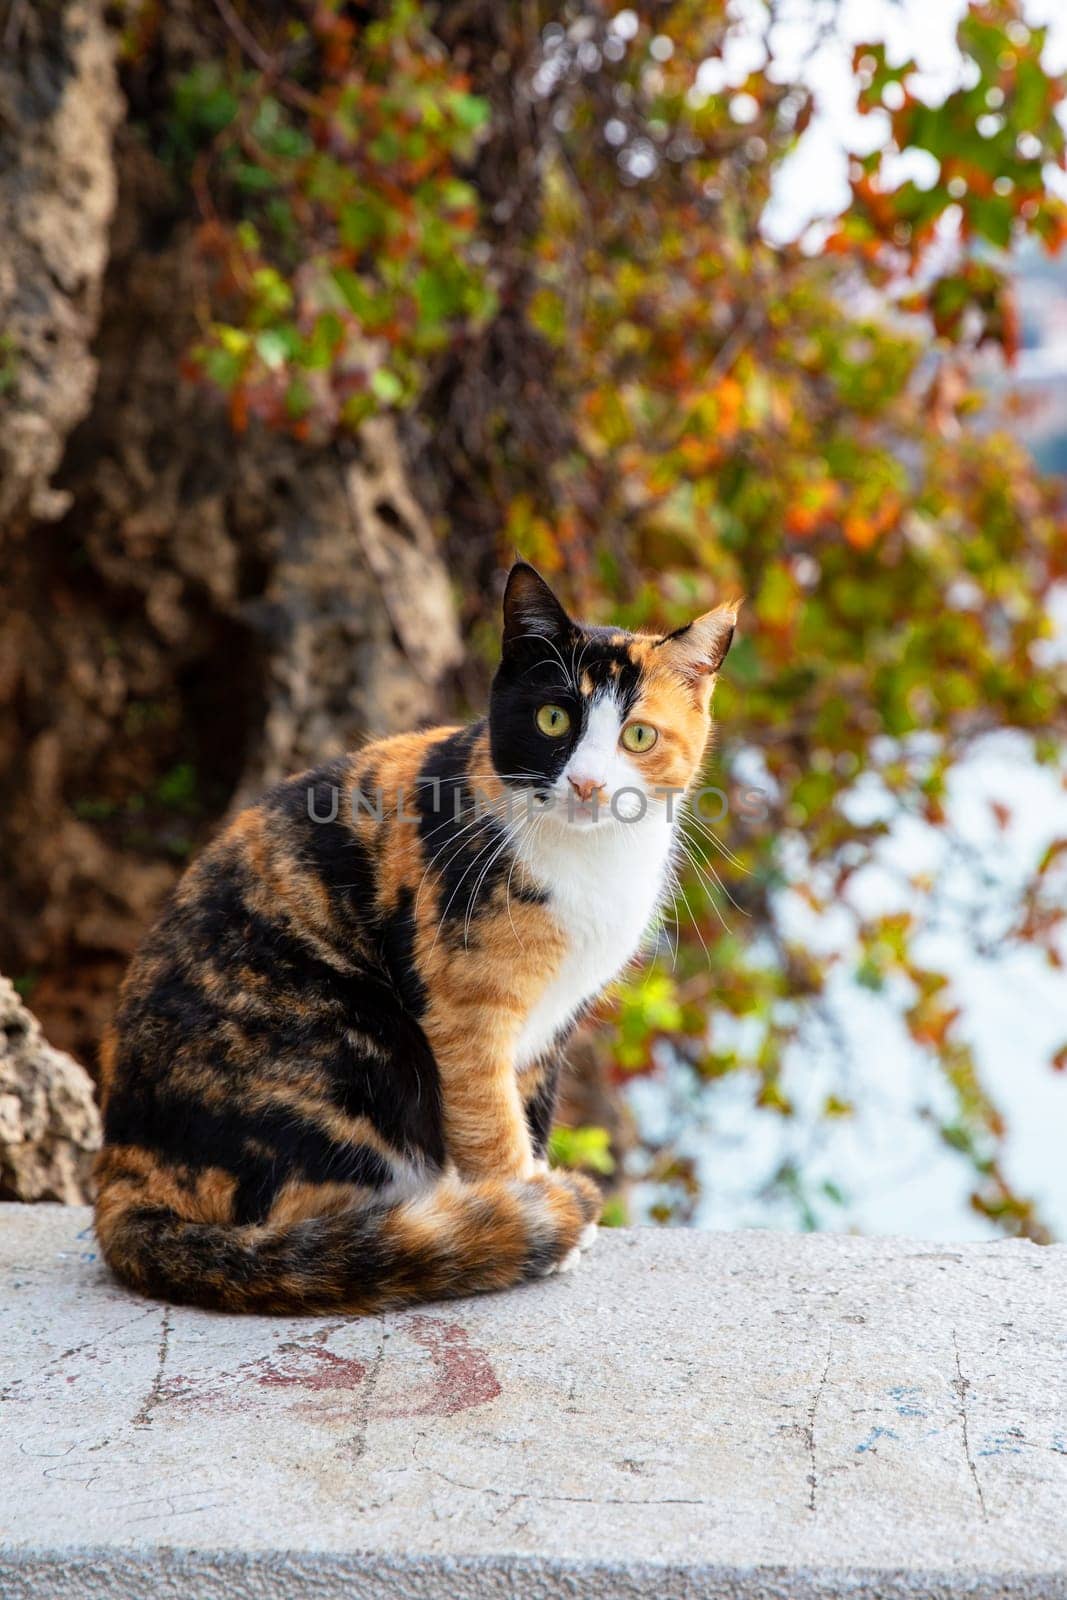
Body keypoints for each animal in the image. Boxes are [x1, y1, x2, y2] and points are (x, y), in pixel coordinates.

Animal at [95, 563, 739, 1312]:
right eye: (553, 718)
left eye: (638, 737)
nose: (585, 783)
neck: (589, 863)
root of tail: (122, 1173)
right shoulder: (466, 1013)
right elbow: (493, 1127)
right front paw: (533, 1209)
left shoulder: (549, 1030)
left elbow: (527, 1114)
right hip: (357, 1047)